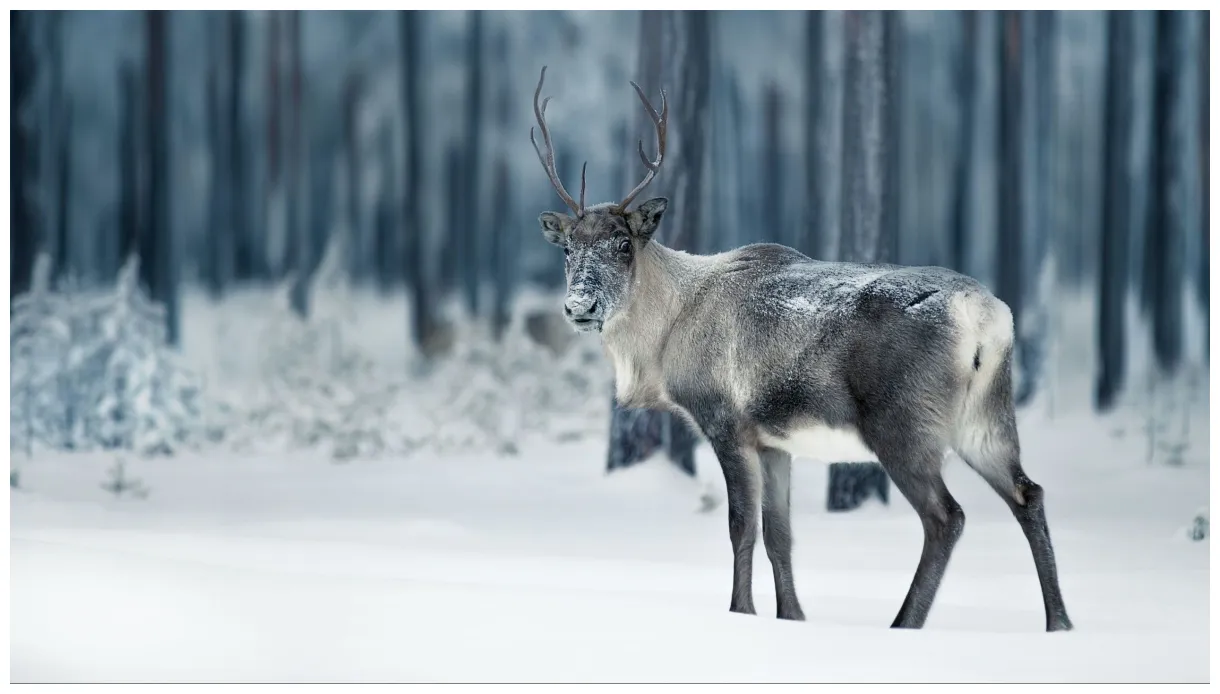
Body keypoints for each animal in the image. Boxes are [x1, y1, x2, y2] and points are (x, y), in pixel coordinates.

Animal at [527, 66, 1073, 632]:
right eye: (568, 249)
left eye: (623, 244)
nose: (580, 304)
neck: (666, 337)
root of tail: (985, 317)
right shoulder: (775, 441)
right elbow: (780, 535)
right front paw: (792, 616)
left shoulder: (726, 422)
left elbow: (741, 527)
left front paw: (741, 611)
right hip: (986, 416)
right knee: (1028, 493)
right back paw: (1059, 621)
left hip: (904, 423)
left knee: (947, 517)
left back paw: (905, 622)